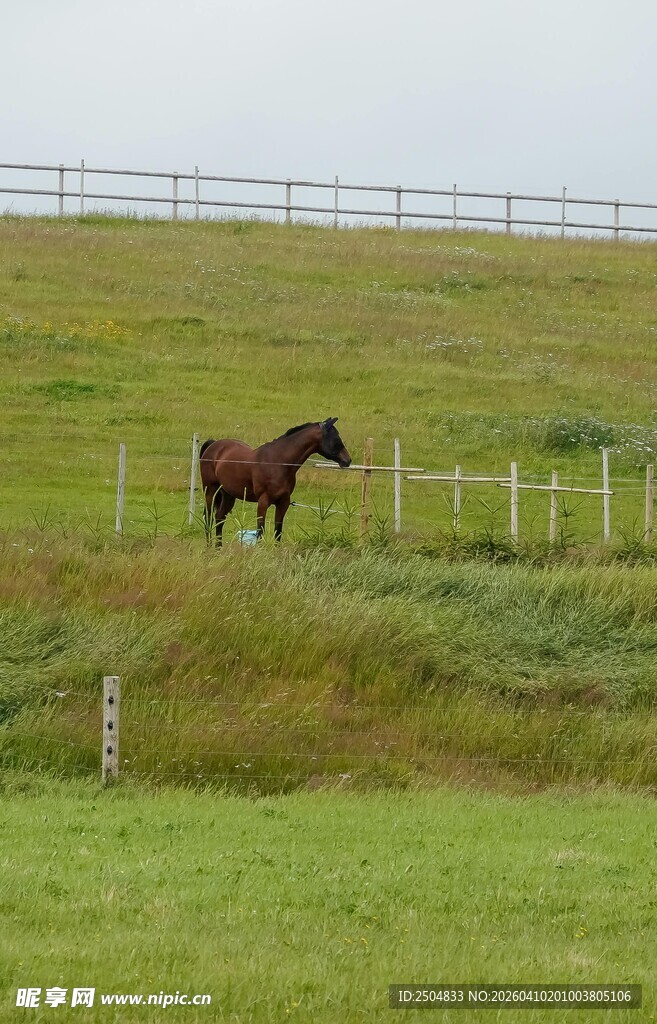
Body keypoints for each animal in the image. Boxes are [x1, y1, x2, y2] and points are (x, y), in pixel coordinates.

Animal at [199, 417, 351, 545]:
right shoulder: (263, 502)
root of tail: (213, 445)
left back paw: (218, 548)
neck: (278, 462)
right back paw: (209, 547)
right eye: (336, 438)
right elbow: (260, 532)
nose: (348, 460)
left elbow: (278, 532)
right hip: (210, 490)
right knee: (208, 518)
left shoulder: (283, 502)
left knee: (219, 519)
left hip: (228, 495)